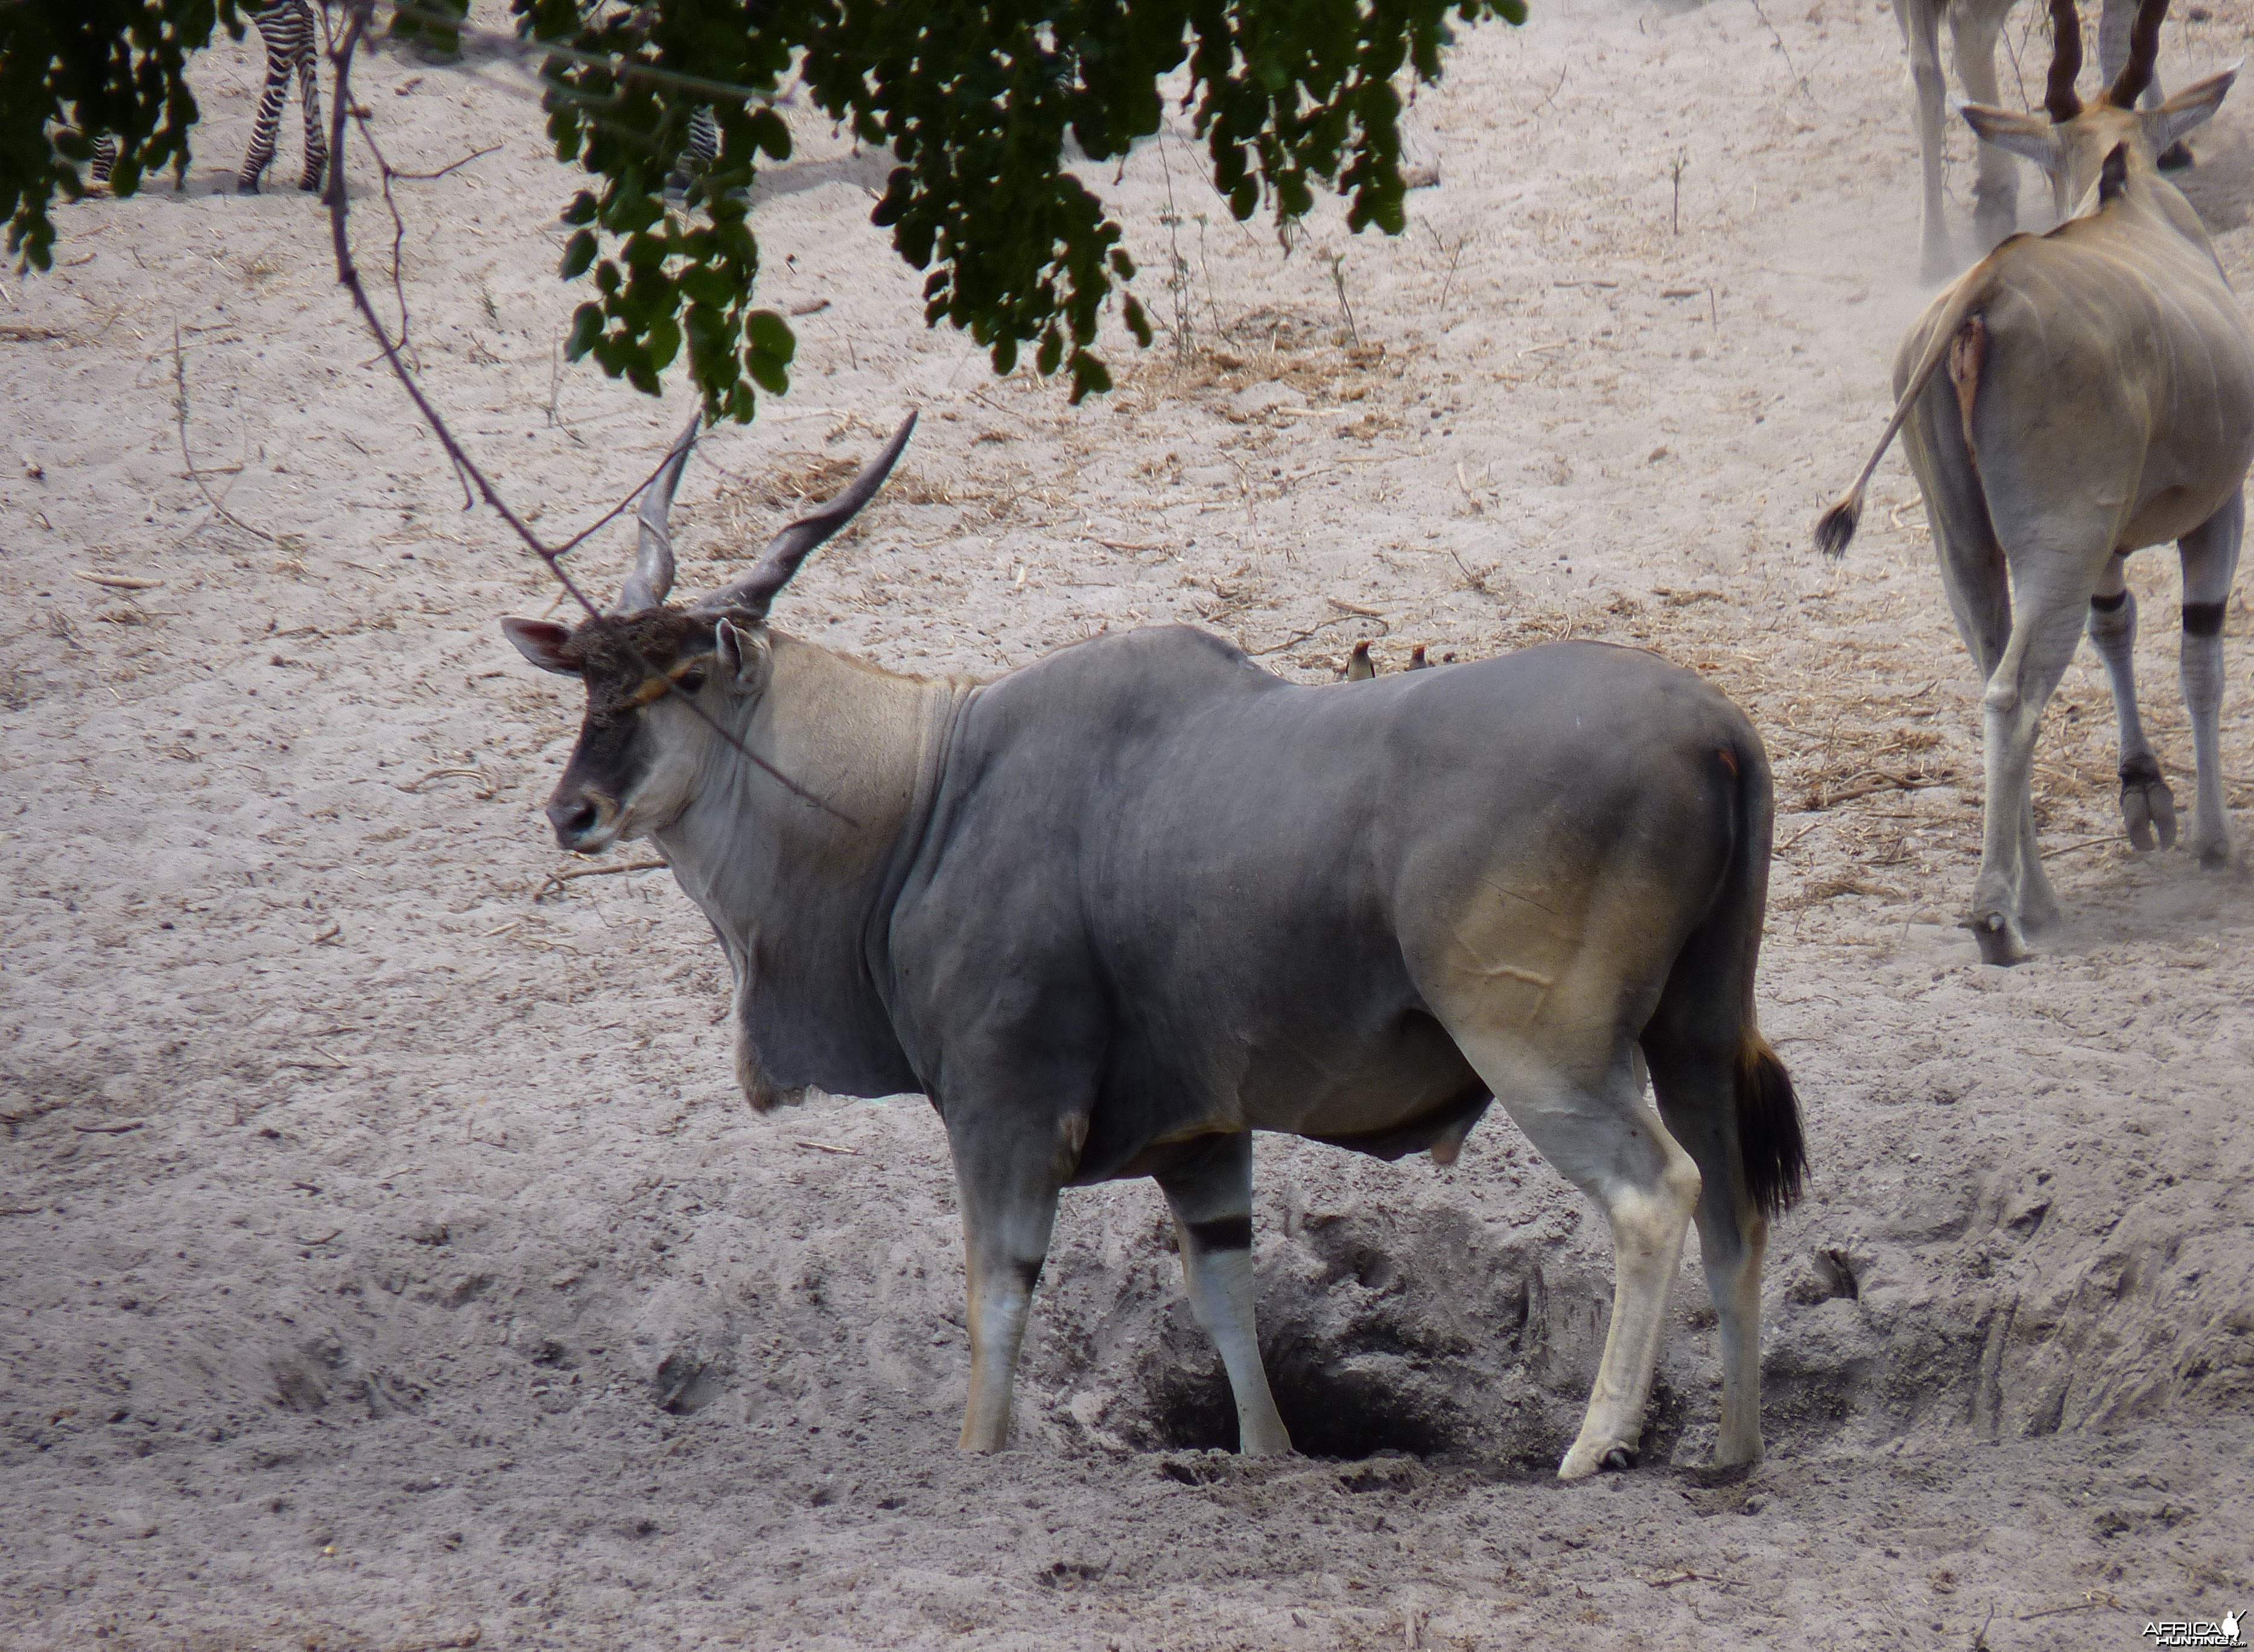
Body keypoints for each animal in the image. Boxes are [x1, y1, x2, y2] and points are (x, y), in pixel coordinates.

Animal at [503, 412, 1803, 1469]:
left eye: (681, 677)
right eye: (588, 681)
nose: (574, 811)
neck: (927, 790)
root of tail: (1720, 731)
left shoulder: (1004, 1109)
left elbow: (996, 1293)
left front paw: (979, 1457)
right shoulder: (1204, 1135)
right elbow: (1223, 1292)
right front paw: (1268, 1455)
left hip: (1537, 1048)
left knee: (1656, 1192)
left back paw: (1592, 1447)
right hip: (1692, 1035)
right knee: (1734, 1209)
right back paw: (1729, 1449)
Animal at [1821, 0, 2245, 964]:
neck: (2128, 193)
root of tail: (1983, 290)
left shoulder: (2107, 549)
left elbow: (2116, 629)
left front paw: (2143, 794)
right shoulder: (2218, 514)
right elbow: (2198, 658)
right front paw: (2209, 840)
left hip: (1972, 551)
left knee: (1991, 666)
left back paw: (2038, 900)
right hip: (2055, 546)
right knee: (2016, 689)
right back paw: (1995, 913)